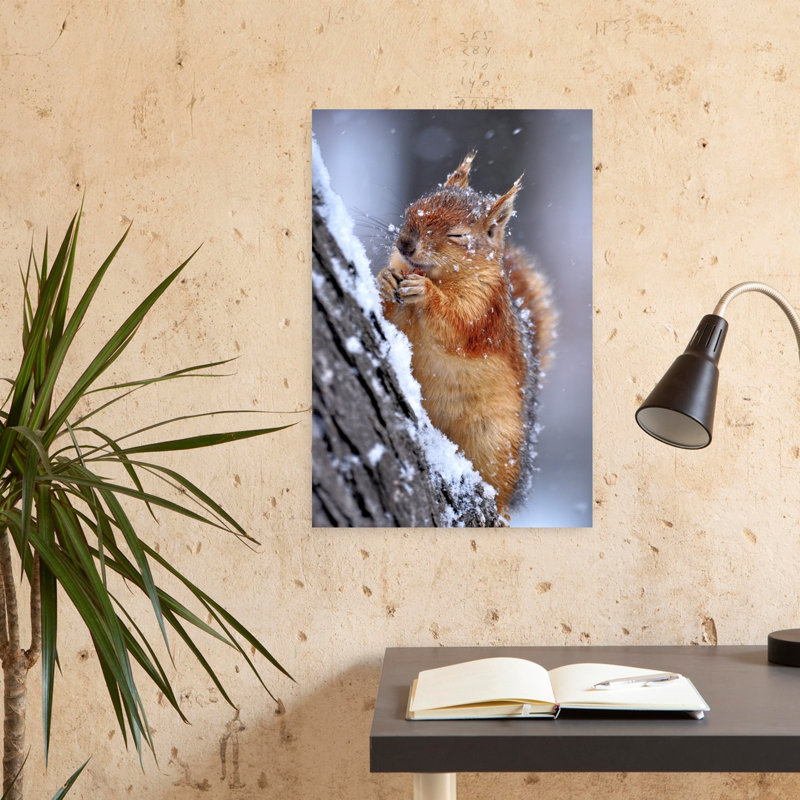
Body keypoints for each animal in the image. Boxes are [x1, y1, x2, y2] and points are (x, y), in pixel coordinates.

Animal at [377, 151, 556, 517]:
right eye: (413, 208)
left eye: (458, 236)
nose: (404, 244)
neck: (440, 276)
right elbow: (392, 313)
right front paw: (386, 278)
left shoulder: (484, 310)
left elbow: (457, 325)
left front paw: (427, 294)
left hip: (495, 440)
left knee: (499, 488)